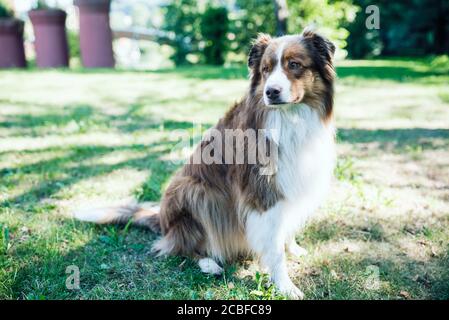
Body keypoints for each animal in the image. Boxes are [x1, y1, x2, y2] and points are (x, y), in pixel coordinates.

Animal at [75, 28, 336, 298]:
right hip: (195, 191)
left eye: (294, 65)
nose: (271, 92)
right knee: (177, 246)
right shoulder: (261, 192)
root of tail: (164, 223)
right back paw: (209, 263)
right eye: (266, 70)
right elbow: (274, 247)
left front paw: (293, 249)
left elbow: (285, 228)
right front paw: (285, 285)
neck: (290, 117)